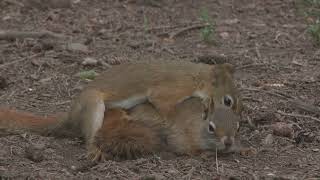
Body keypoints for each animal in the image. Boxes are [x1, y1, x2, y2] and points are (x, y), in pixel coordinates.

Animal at [0, 61, 242, 161]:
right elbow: (165, 108)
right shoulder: (169, 91)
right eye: (228, 100)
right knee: (90, 137)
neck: (196, 77)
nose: (241, 116)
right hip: (93, 105)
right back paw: (94, 150)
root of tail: (70, 116)